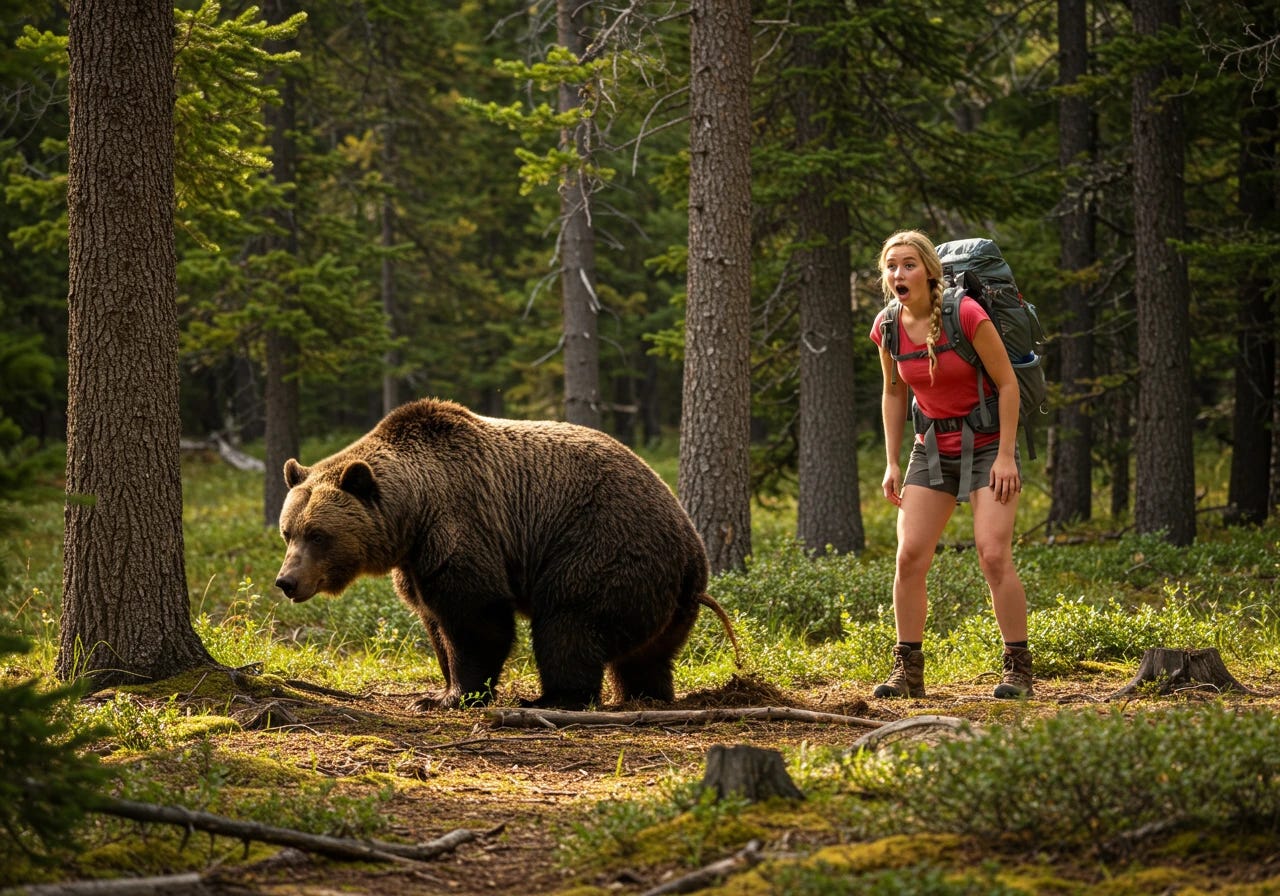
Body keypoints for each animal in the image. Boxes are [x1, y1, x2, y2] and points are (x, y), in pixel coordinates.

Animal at [274, 397, 737, 710]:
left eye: (318, 535)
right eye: (288, 532)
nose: (286, 581)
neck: (414, 513)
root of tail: (691, 555)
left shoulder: (459, 529)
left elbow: (476, 617)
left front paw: (453, 695)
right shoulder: (416, 561)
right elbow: (432, 619)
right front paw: (439, 688)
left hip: (603, 549)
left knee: (569, 625)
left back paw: (553, 698)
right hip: (670, 603)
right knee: (647, 656)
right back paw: (647, 694)